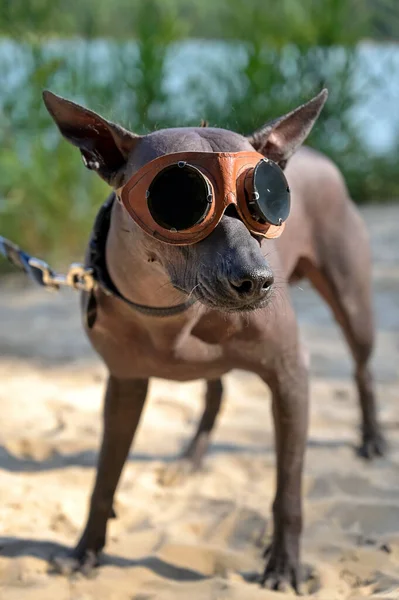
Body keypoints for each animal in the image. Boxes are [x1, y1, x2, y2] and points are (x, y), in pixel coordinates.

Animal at [42, 89, 386, 592]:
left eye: (267, 198)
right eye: (178, 198)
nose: (258, 281)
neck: (167, 308)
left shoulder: (290, 375)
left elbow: (288, 489)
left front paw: (284, 565)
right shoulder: (124, 385)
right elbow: (105, 477)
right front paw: (86, 550)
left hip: (353, 304)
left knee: (362, 369)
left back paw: (373, 438)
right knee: (216, 389)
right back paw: (191, 458)